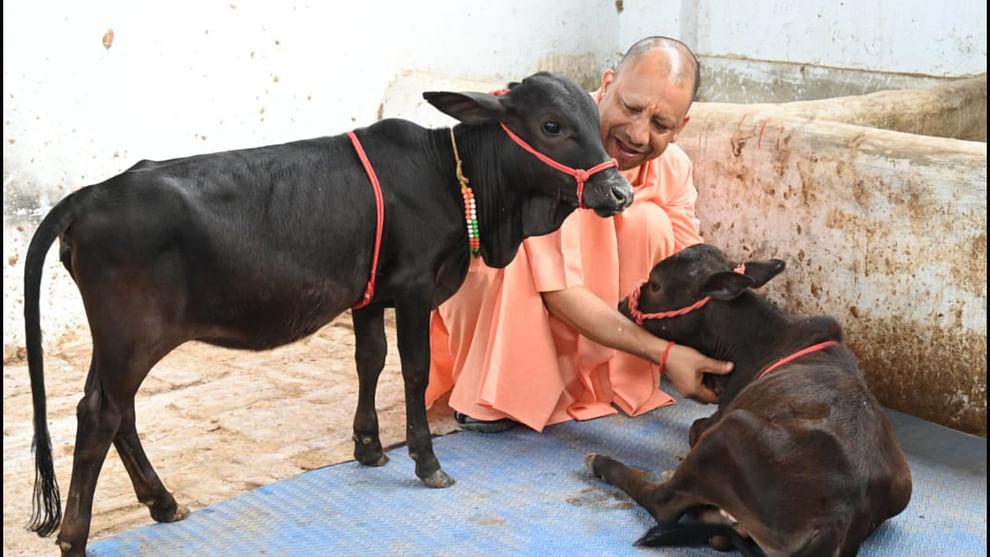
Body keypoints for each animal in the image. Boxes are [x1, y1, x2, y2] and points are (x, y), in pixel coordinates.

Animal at [25, 70, 636, 556]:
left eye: (594, 120)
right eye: (552, 125)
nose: (619, 191)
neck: (453, 179)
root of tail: (88, 195)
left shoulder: (368, 295)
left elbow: (370, 360)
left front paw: (369, 448)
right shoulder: (414, 289)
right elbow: (412, 370)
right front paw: (427, 463)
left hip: (116, 342)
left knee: (114, 411)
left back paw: (162, 501)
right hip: (132, 335)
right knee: (99, 415)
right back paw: (76, 538)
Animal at [588, 243, 916, 556]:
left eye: (656, 285)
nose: (621, 303)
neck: (753, 342)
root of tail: (840, 516)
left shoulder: (716, 419)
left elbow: (694, 427)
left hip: (729, 430)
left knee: (663, 503)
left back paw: (601, 462)